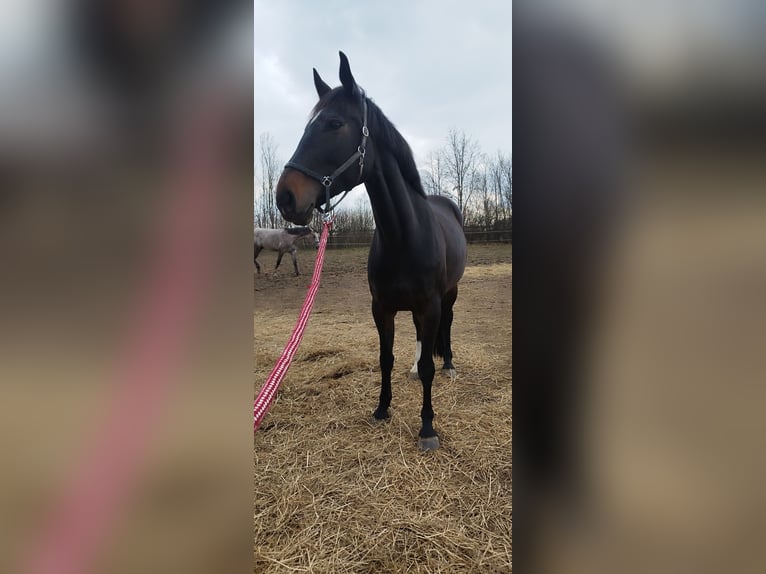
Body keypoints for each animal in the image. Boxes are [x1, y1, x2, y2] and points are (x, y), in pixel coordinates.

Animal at [276, 51, 468, 452]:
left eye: (334, 123)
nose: (285, 197)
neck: (404, 237)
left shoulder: (431, 305)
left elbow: (429, 364)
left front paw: (427, 427)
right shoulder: (382, 308)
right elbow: (385, 357)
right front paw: (382, 409)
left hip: (450, 294)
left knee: (446, 328)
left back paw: (449, 364)